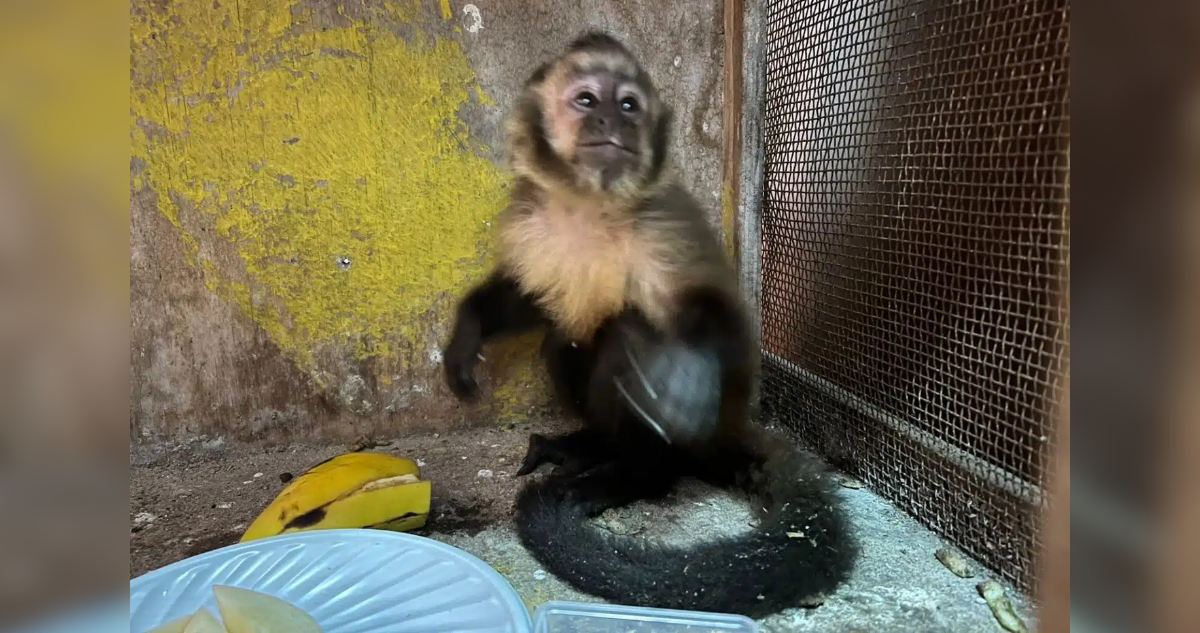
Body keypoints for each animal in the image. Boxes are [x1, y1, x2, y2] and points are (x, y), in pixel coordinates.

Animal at [442, 32, 856, 618]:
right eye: (587, 100)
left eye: (629, 105)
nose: (612, 121)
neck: (590, 204)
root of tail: (729, 429)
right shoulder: (530, 219)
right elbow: (531, 298)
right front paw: (467, 336)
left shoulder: (664, 223)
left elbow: (716, 313)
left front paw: (686, 376)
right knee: (568, 338)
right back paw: (592, 447)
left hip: (704, 428)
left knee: (628, 335)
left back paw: (635, 474)